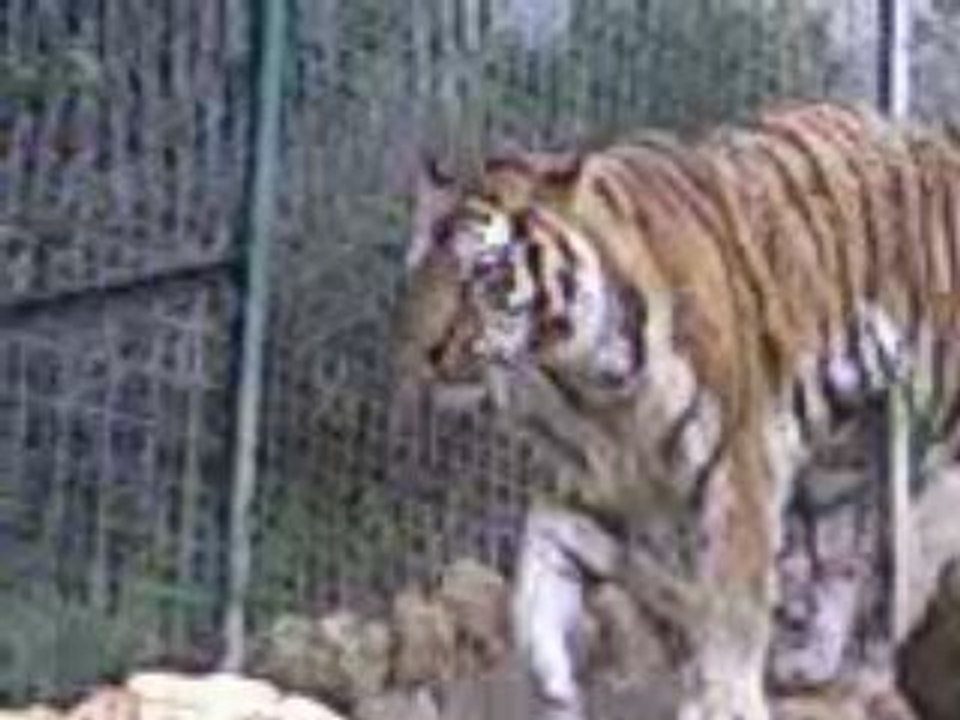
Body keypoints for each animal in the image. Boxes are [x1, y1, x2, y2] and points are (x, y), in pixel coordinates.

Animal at [390, 100, 960, 720]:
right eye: (421, 272)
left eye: (488, 275)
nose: (424, 352)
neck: (582, 378)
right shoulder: (587, 481)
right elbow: (537, 570)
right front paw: (553, 683)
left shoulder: (740, 465)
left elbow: (735, 604)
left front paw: (728, 701)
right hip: (841, 457)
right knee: (839, 551)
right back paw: (813, 663)